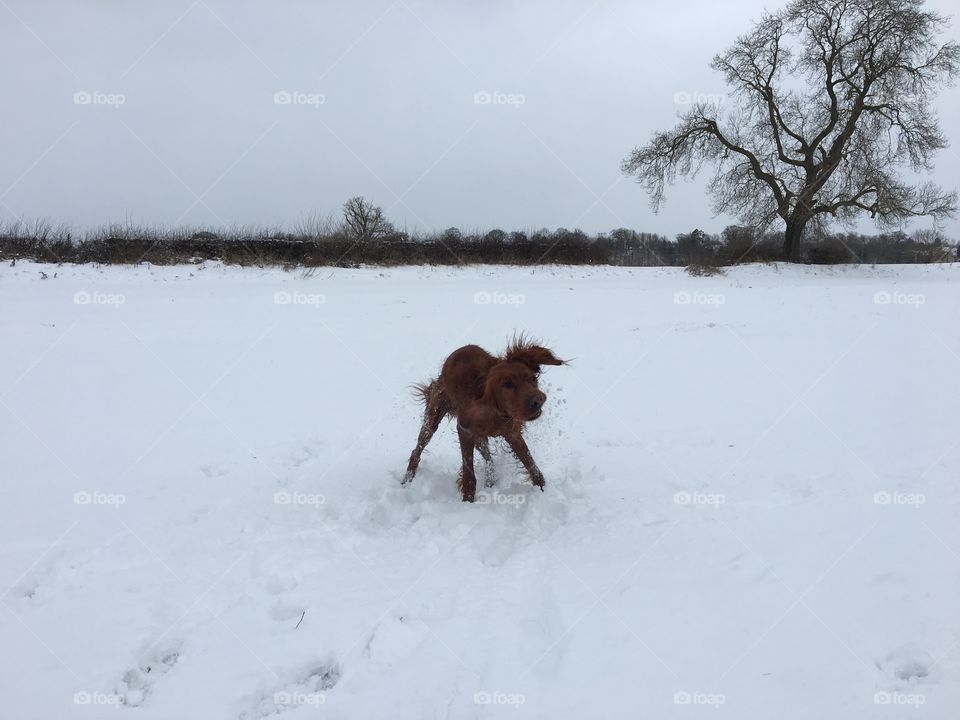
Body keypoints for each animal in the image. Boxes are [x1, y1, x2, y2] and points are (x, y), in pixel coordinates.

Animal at [404, 338, 564, 500]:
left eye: (532, 378)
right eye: (507, 384)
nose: (538, 400)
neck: (495, 409)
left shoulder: (512, 433)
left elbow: (531, 465)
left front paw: (542, 489)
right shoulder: (465, 430)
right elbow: (468, 472)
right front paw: (468, 500)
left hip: (480, 438)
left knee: (489, 459)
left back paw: (491, 483)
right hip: (433, 418)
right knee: (417, 449)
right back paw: (407, 480)